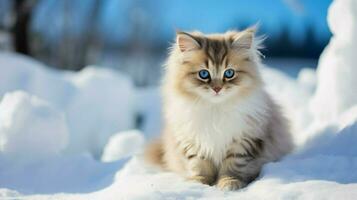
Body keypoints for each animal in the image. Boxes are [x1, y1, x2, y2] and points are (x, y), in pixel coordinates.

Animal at [145, 27, 292, 190]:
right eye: (204, 74)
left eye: (229, 73)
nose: (217, 88)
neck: (215, 108)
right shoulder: (193, 141)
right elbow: (200, 165)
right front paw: (199, 183)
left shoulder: (243, 140)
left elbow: (232, 165)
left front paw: (229, 183)